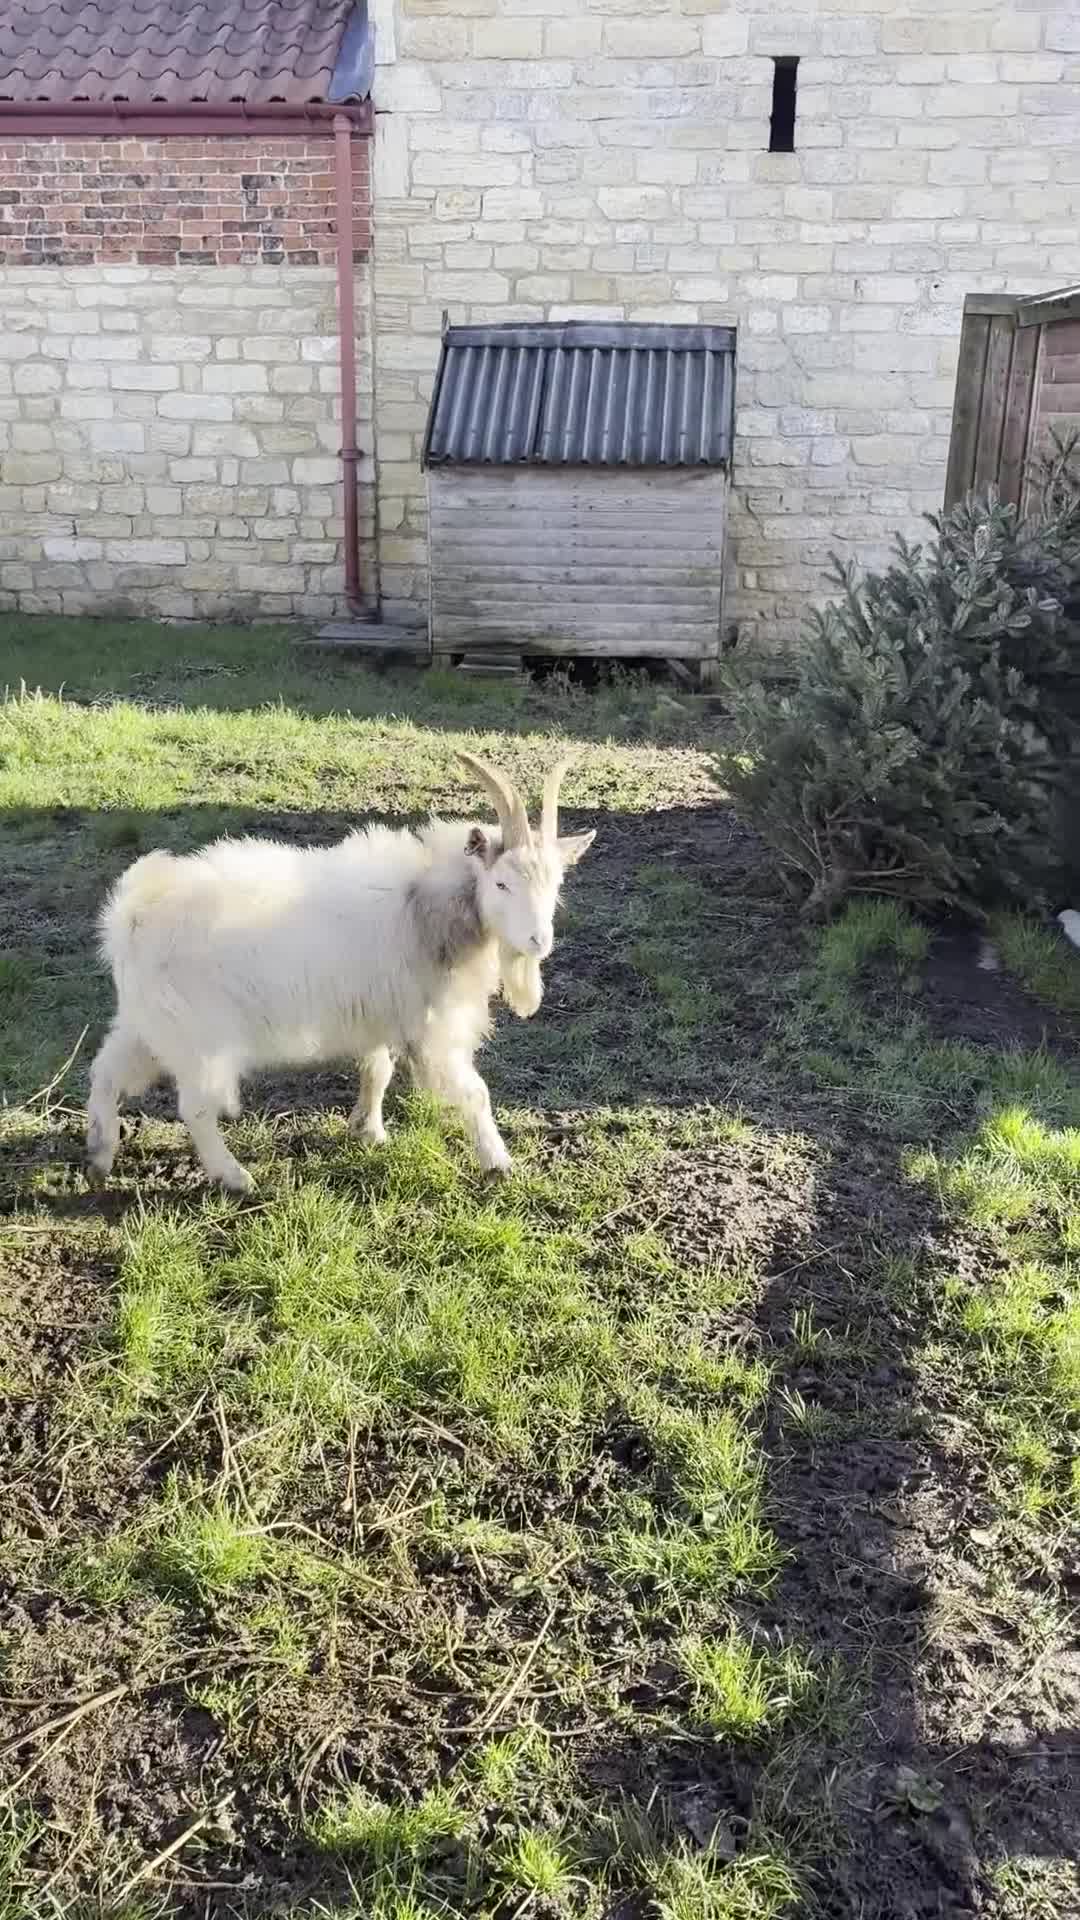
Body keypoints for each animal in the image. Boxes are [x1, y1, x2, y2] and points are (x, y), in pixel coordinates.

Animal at [85, 754, 594, 1193]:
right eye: (501, 882)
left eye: (556, 883)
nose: (539, 941)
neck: (425, 904)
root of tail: (132, 914)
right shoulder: (433, 1028)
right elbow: (475, 1093)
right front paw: (498, 1163)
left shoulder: (378, 1012)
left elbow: (377, 1070)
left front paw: (368, 1131)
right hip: (200, 1037)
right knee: (194, 1107)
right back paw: (234, 1177)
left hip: (148, 1023)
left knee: (106, 1070)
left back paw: (99, 1154)